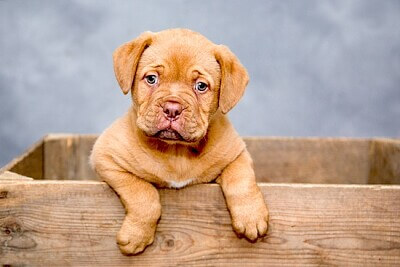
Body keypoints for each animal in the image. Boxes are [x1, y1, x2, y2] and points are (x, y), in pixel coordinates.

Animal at [90, 28, 268, 255]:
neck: (176, 152)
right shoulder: (106, 156)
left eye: (201, 86)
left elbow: (241, 180)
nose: (172, 109)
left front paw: (251, 217)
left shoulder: (237, 153)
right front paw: (136, 235)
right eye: (151, 79)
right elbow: (143, 194)